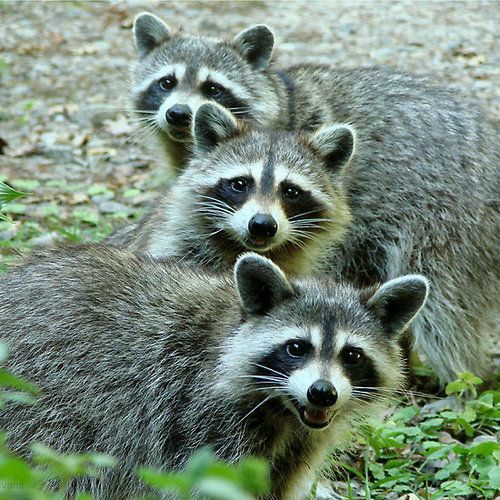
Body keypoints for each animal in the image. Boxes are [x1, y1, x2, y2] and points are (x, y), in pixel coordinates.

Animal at [0, 245, 430, 500]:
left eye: (352, 355)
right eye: (296, 348)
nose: (322, 392)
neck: (283, 411)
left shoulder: (298, 445)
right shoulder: (199, 419)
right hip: (44, 411)